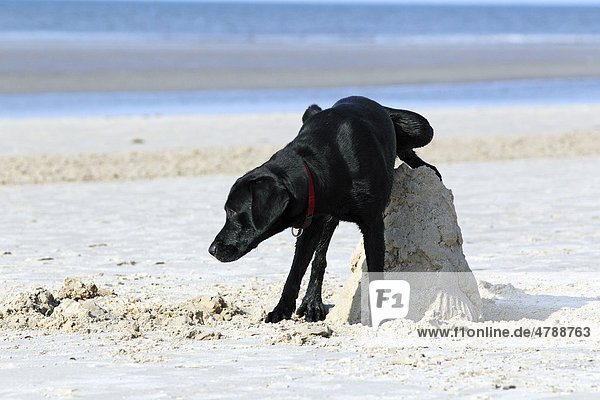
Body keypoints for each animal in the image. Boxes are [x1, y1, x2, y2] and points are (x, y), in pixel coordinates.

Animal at [209, 96, 438, 322]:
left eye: (232, 211)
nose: (211, 250)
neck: (318, 166)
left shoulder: (372, 223)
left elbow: (375, 270)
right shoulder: (312, 221)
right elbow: (297, 269)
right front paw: (282, 309)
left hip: (420, 128)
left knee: (408, 144)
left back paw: (427, 167)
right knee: (319, 259)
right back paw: (312, 303)